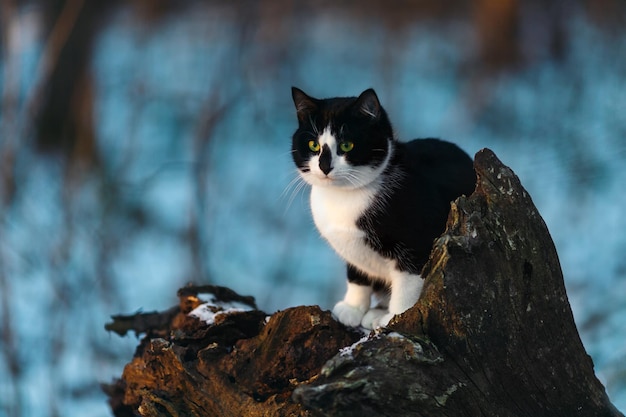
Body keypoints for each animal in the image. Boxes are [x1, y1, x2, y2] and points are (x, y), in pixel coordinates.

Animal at [290, 88, 476, 328]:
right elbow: (357, 274)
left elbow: (408, 283)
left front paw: (396, 317)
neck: (344, 197)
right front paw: (352, 308)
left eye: (347, 145)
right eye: (314, 145)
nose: (324, 166)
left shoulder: (417, 242)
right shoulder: (352, 249)